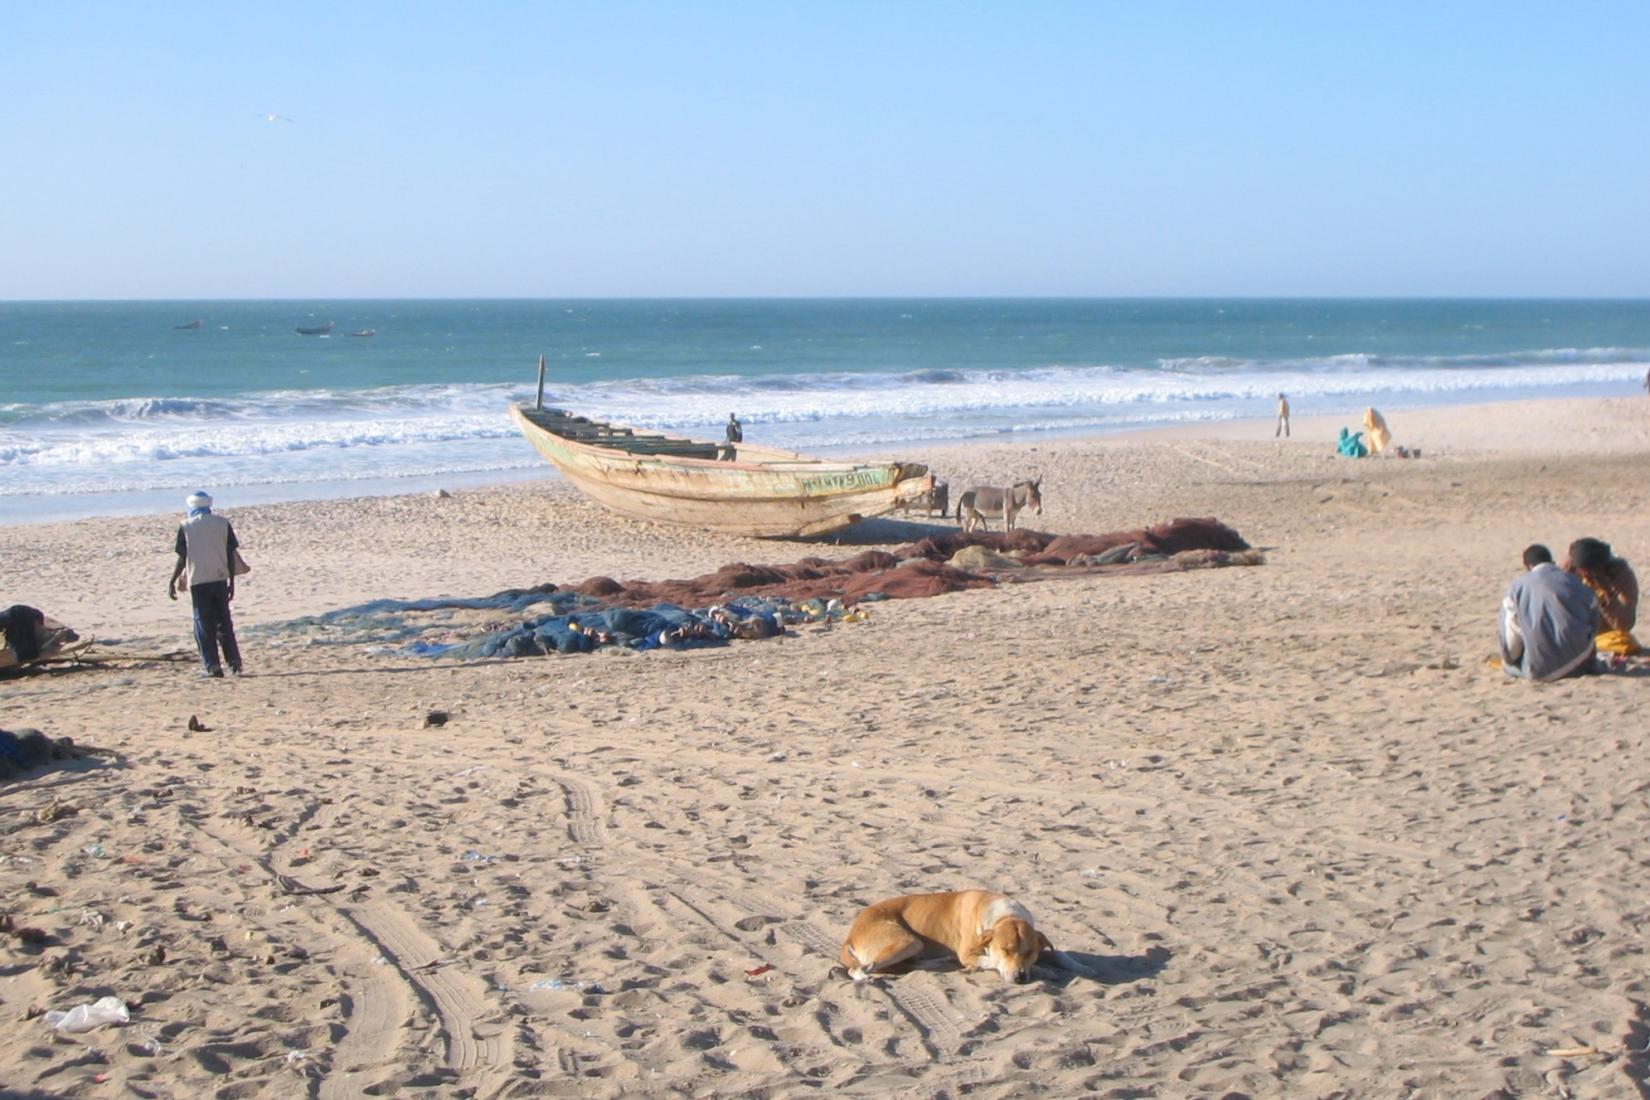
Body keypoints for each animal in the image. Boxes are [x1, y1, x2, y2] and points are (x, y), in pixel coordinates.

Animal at [838, 890, 1082, 982]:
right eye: (1005, 950)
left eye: (1030, 951)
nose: (1020, 978)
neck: (1005, 916)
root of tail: (850, 934)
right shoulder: (969, 952)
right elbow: (993, 962)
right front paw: (1042, 970)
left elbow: (1058, 954)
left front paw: (1077, 967)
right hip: (908, 941)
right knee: (860, 969)